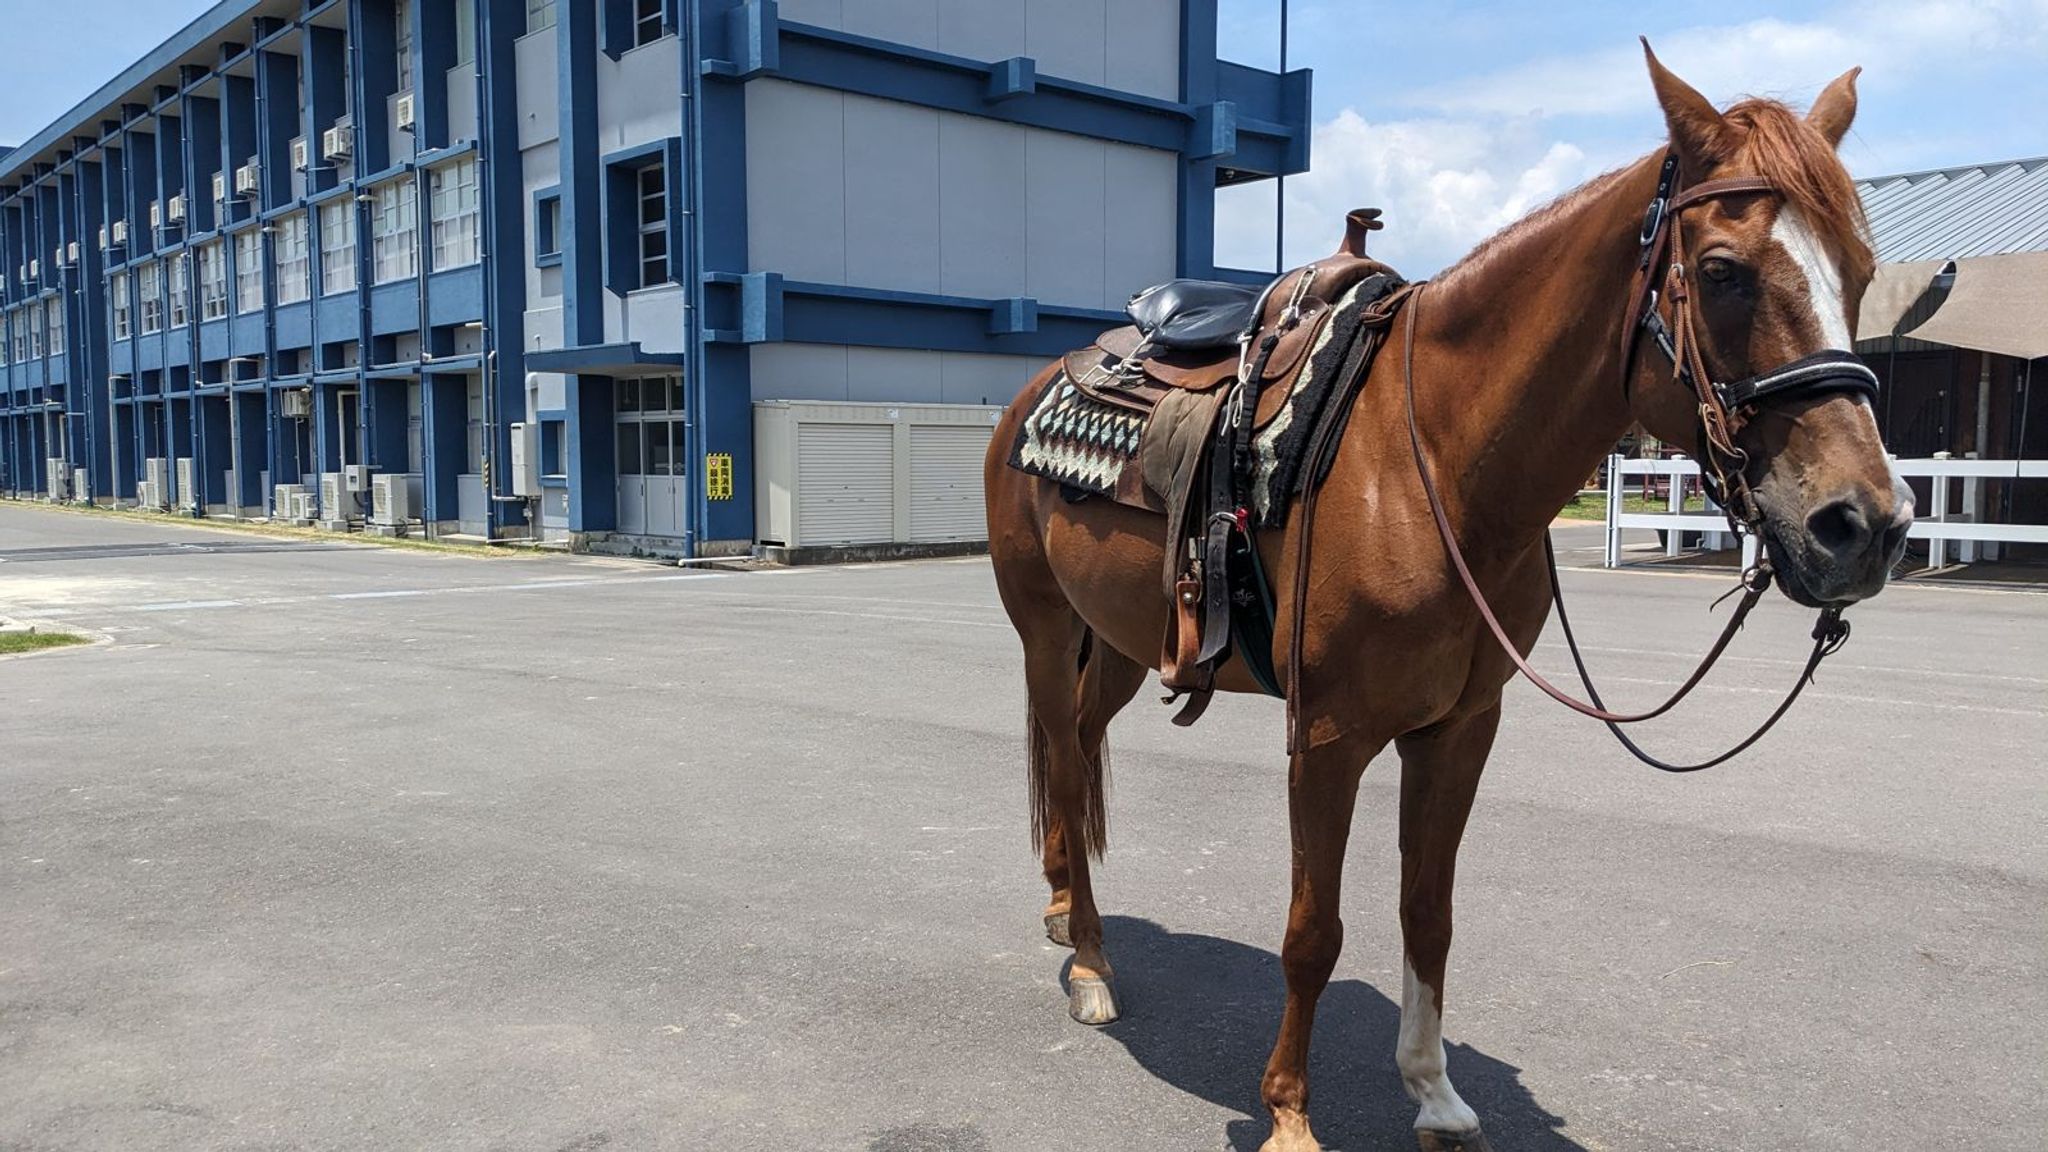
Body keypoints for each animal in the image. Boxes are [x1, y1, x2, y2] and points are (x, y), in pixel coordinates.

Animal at [980, 44, 1913, 1152]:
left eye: (1859, 272)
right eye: (1723, 272)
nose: (1864, 525)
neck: (1431, 467)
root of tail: (1037, 388)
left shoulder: (1461, 727)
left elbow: (1428, 913)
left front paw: (1432, 1092)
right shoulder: (1329, 737)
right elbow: (1313, 930)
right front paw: (1289, 1115)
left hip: (1118, 640)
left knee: (1079, 752)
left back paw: (1064, 909)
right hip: (1045, 630)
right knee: (1064, 762)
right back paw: (1087, 959)